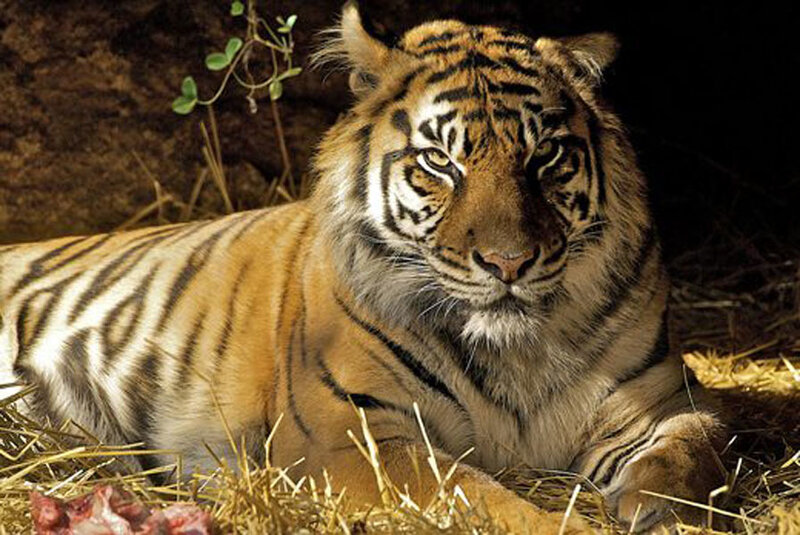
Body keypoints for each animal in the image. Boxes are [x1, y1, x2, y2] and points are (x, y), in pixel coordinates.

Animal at [0, 2, 726, 532]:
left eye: (544, 156)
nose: (508, 262)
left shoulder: (664, 399)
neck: (514, 353)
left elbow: (693, 454)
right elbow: (479, 493)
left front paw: (657, 510)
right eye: (440, 161)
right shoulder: (351, 431)